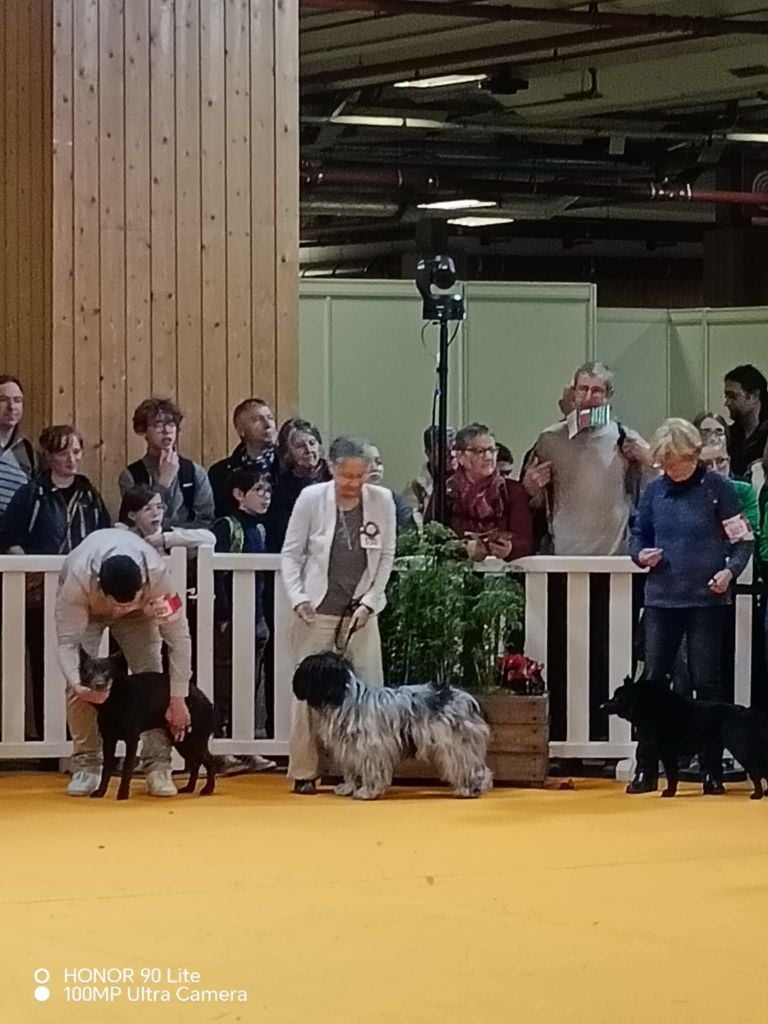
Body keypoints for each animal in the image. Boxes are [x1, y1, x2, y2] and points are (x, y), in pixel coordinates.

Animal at [79, 651, 217, 802]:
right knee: (195, 763)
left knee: (210, 761)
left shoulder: (132, 741)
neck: (113, 700)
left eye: (106, 670)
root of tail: (207, 701)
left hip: (195, 740)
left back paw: (208, 789)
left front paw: (123, 794)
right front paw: (100, 792)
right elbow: (106, 769)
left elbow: (127, 770)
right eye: (89, 671)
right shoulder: (108, 741)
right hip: (182, 741)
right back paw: (189, 788)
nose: (99, 684)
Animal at [290, 655, 495, 798]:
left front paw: (368, 792)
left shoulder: (370, 748)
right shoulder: (350, 749)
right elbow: (352, 771)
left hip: (456, 744)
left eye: (309, 668)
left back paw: (471, 789)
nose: (294, 680)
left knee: (472, 767)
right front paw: (348, 788)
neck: (346, 700)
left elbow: (371, 770)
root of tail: (468, 699)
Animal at [606, 679, 768, 798]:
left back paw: (757, 795)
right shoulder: (662, 751)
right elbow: (672, 774)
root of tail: (746, 712)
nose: (603, 705)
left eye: (617, 697)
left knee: (756, 772)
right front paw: (670, 792)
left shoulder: (665, 752)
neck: (651, 706)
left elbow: (672, 775)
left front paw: (669, 793)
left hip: (741, 750)